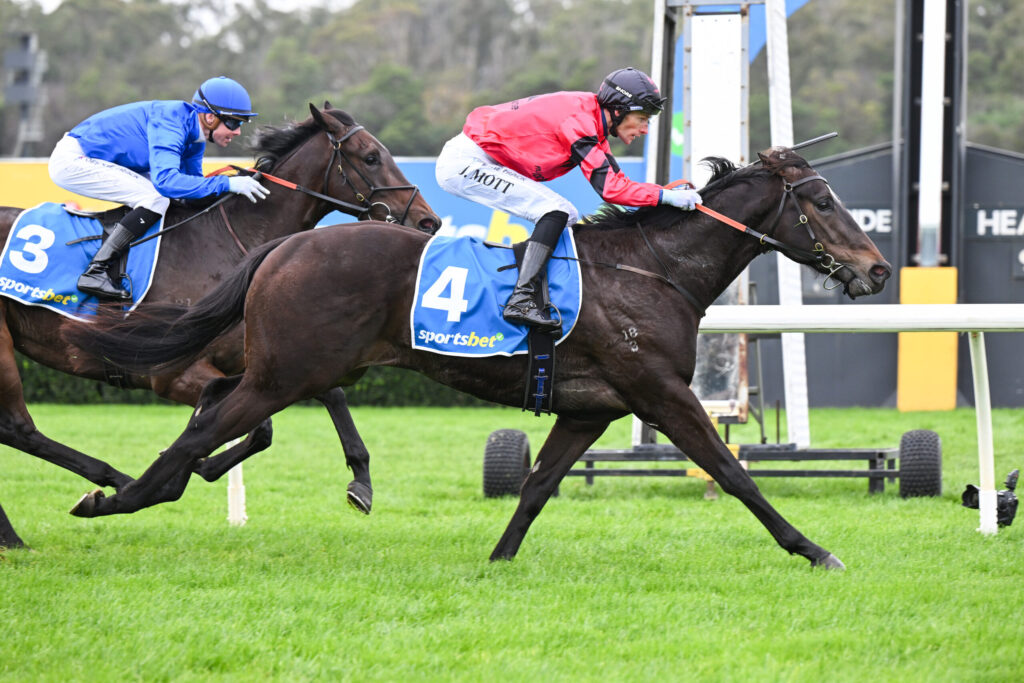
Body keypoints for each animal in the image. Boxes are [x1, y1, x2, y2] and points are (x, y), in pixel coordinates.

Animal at [0, 103, 439, 548]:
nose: (429, 221)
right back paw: (93, 490)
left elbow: (325, 397)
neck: (230, 241)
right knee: (19, 429)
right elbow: (259, 428)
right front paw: (188, 469)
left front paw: (360, 481)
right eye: (371, 157)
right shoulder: (174, 374)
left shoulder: (274, 357)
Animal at [65, 146, 891, 569]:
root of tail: (287, 244)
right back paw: (114, 497)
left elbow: (537, 486)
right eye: (822, 201)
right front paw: (812, 547)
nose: (879, 269)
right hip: (284, 373)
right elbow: (732, 471)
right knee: (201, 432)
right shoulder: (659, 391)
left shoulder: (592, 408)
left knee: (208, 419)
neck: (653, 269)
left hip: (290, 369)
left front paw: (498, 557)